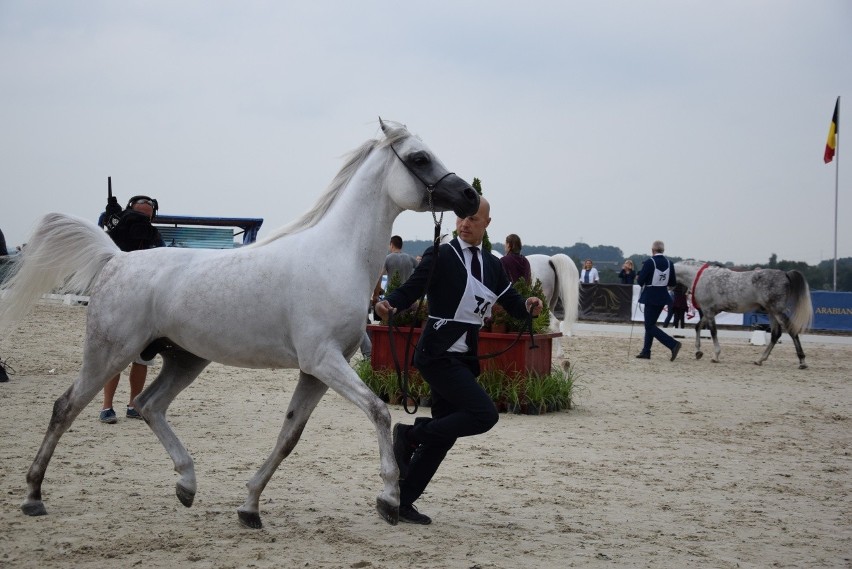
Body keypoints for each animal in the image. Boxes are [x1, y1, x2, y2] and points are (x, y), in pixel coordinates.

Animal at [0, 120, 480, 528]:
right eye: (419, 157)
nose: (470, 198)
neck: (337, 257)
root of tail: (116, 258)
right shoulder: (324, 362)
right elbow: (379, 411)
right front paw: (389, 499)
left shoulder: (317, 372)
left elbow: (289, 436)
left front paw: (249, 507)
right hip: (109, 353)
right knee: (66, 407)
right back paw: (33, 496)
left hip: (184, 360)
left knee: (149, 405)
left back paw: (187, 485)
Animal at [672, 260, 812, 368]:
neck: (700, 277)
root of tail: (784, 274)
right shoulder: (711, 311)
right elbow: (698, 327)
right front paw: (698, 352)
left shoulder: (708, 311)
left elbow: (713, 332)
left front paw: (716, 355)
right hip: (771, 312)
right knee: (775, 334)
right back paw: (760, 360)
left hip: (777, 311)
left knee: (791, 331)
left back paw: (802, 361)